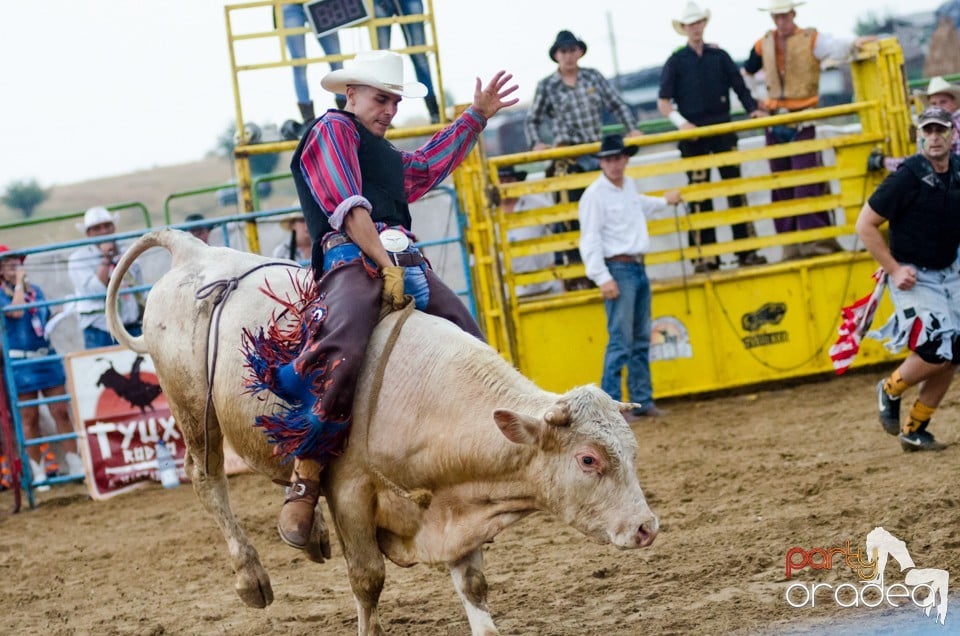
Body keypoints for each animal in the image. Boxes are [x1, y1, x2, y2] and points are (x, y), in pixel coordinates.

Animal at [107, 230, 660, 636]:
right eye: (588, 459)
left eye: (632, 452)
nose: (646, 528)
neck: (428, 395)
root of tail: (192, 251)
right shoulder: (350, 491)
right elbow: (368, 579)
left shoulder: (454, 499)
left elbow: (474, 583)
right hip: (194, 413)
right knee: (207, 480)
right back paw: (252, 576)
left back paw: (307, 528)